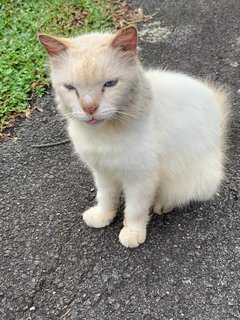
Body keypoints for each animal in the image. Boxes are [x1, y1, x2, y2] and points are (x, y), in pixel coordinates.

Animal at [38, 26, 230, 249]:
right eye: (70, 87)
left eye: (110, 84)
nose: (89, 108)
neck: (104, 133)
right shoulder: (102, 171)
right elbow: (106, 198)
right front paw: (103, 217)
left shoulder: (141, 178)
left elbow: (135, 210)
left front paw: (132, 232)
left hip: (189, 178)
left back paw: (162, 205)